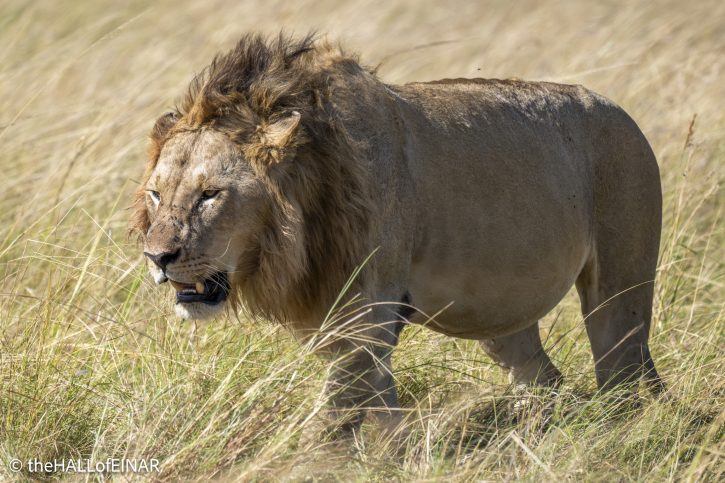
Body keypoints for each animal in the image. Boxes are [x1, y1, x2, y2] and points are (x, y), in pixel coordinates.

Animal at [130, 33, 665, 435]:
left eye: (210, 195)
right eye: (156, 194)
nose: (157, 258)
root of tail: (623, 113)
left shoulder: (369, 313)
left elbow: (336, 412)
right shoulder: (345, 319)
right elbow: (372, 405)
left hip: (620, 290)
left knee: (621, 381)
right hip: (500, 315)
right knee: (546, 379)